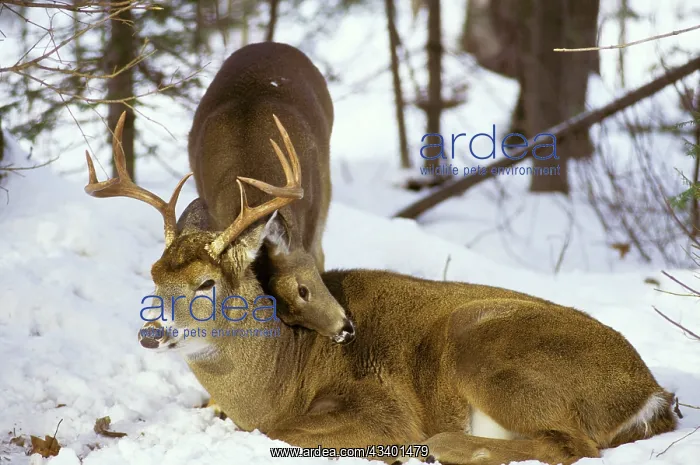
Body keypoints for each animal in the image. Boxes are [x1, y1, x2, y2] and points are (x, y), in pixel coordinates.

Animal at [83, 109, 678, 465]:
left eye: (206, 283)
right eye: (154, 276)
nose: (151, 333)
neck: (277, 381)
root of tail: (648, 392)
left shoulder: (379, 408)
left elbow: (280, 433)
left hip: (487, 343)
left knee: (571, 443)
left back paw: (434, 446)